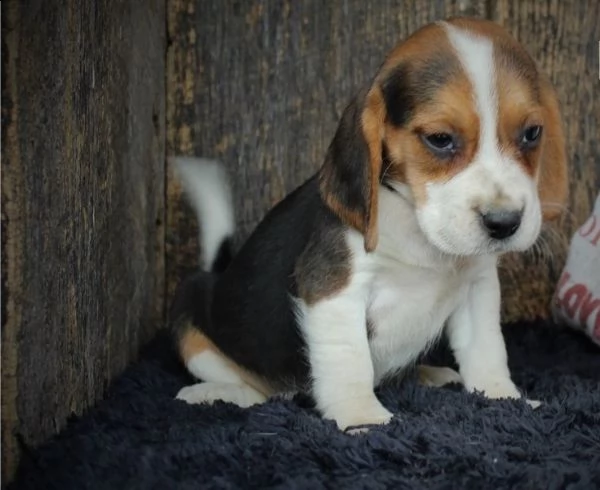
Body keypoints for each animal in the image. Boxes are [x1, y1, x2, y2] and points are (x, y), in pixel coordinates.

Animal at [170, 17, 568, 430]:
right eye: (440, 139)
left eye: (532, 133)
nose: (504, 222)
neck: (418, 227)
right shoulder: (334, 288)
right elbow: (350, 359)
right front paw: (363, 416)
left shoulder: (478, 287)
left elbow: (487, 350)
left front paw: (504, 397)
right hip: (189, 317)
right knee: (245, 383)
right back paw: (218, 393)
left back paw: (431, 374)